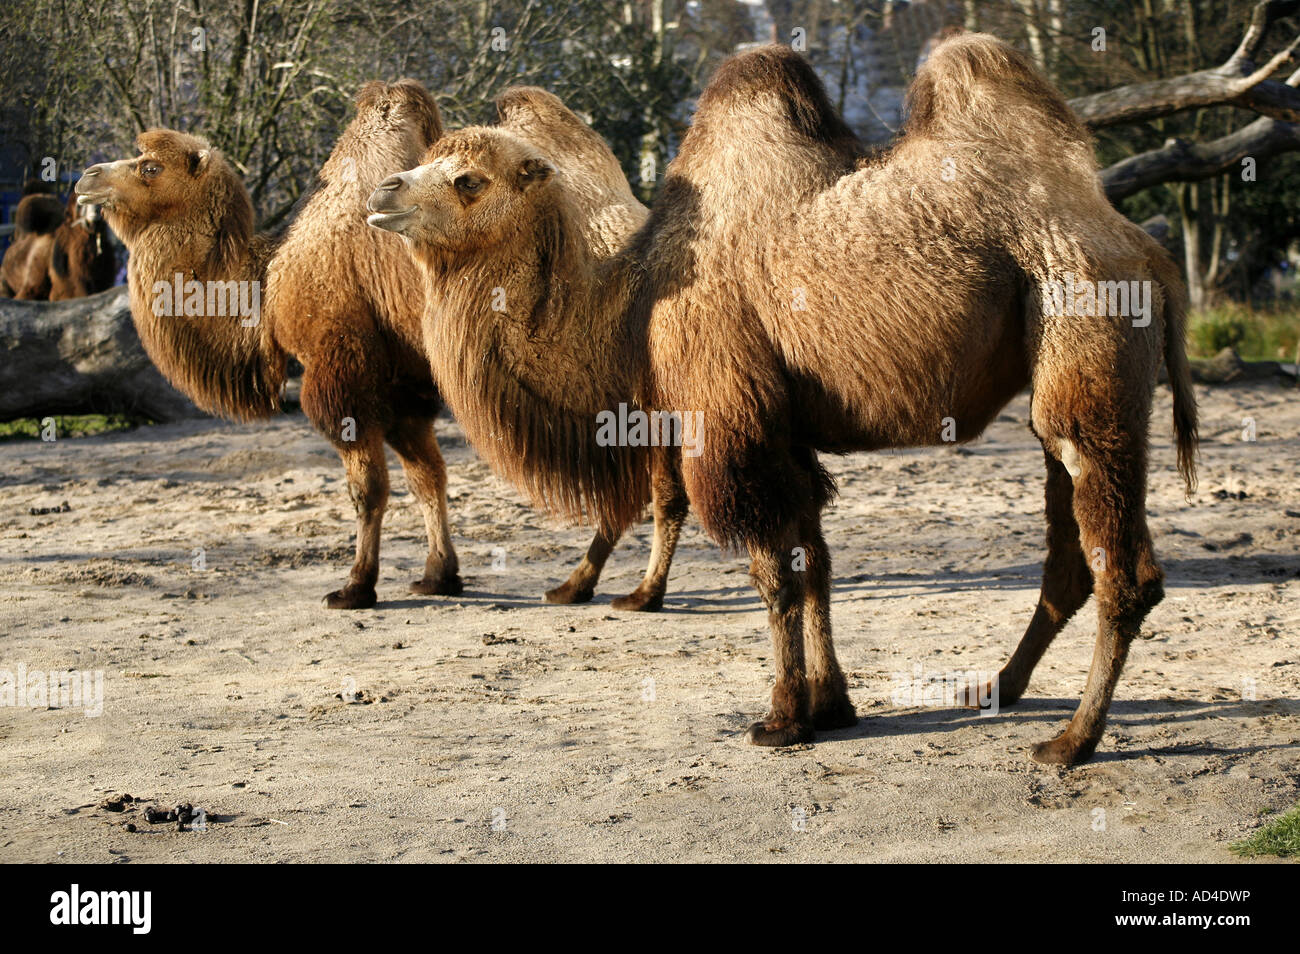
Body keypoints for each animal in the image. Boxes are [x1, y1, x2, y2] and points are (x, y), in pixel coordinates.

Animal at [370, 34, 1198, 766]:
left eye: (468, 179)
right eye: (428, 160)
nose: (382, 193)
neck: (633, 313)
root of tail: (1149, 252)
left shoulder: (729, 422)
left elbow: (773, 571)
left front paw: (780, 718)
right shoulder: (784, 428)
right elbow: (816, 558)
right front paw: (831, 706)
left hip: (1083, 320)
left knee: (1124, 567)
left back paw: (1070, 743)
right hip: (1055, 372)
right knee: (1070, 556)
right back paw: (996, 690)